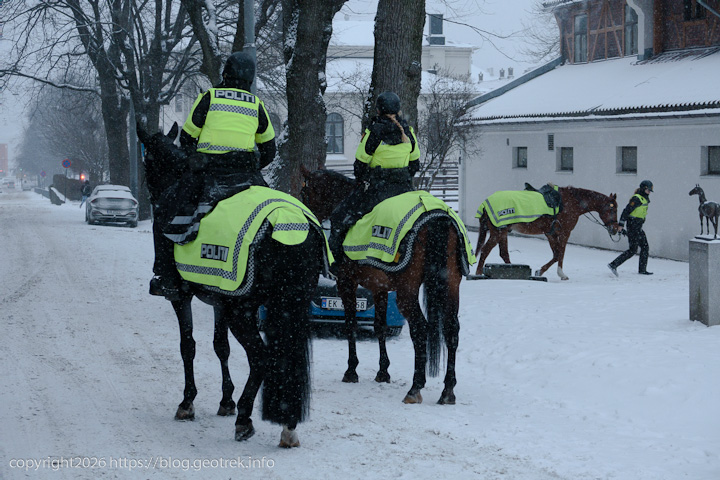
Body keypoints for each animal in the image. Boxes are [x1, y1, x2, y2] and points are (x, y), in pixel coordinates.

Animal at [138, 123, 325, 447]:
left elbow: (188, 345)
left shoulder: (183, 298)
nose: (152, 199)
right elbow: (220, 346)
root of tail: (289, 223)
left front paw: (188, 402)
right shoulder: (220, 300)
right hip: (289, 305)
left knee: (260, 357)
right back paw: (287, 426)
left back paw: (245, 418)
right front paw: (226, 400)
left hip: (244, 311)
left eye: (147, 161)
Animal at [300, 167, 467, 405]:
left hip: (407, 292)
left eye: (304, 193)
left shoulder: (346, 282)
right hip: (451, 285)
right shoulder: (379, 287)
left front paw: (351, 370)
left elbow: (350, 323)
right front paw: (383, 371)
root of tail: (436, 218)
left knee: (420, 329)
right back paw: (448, 390)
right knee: (452, 330)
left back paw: (415, 387)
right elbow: (380, 326)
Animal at [474, 186, 620, 280]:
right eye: (613, 210)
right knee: (485, 250)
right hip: (498, 233)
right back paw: (479, 273)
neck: (572, 202)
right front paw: (561, 274)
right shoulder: (564, 233)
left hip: (503, 232)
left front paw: (540, 271)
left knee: (503, 253)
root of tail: (485, 204)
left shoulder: (551, 234)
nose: (615, 229)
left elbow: (556, 255)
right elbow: (560, 254)